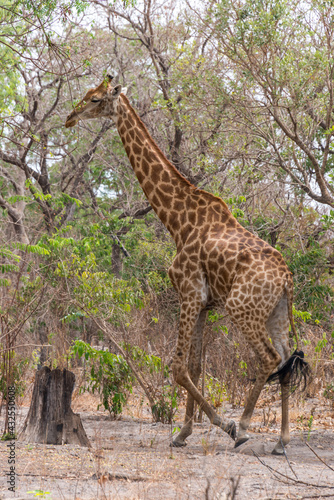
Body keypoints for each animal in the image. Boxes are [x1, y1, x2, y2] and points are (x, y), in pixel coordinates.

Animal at [66, 74, 310, 454]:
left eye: (94, 99)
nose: (70, 117)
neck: (178, 221)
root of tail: (287, 278)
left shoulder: (189, 292)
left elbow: (178, 367)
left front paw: (224, 425)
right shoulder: (205, 302)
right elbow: (194, 367)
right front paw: (183, 433)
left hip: (243, 308)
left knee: (270, 359)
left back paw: (243, 426)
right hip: (277, 313)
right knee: (286, 360)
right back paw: (282, 441)